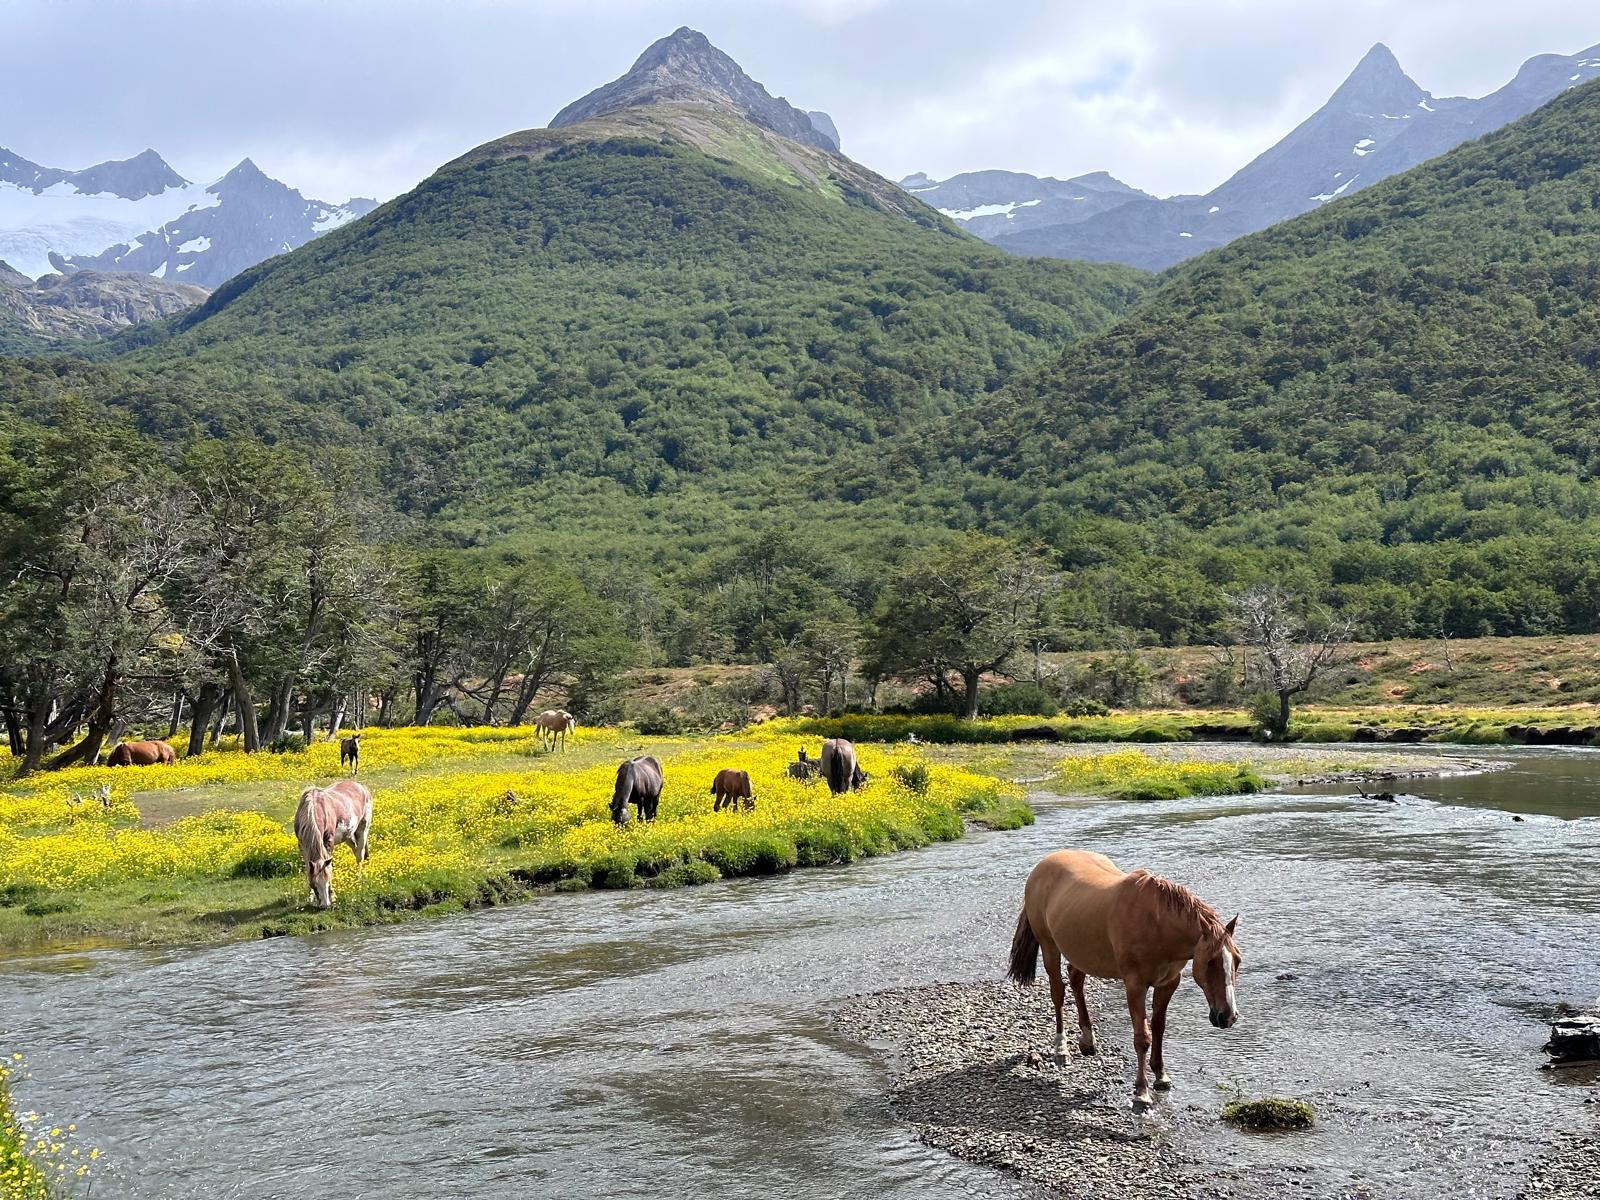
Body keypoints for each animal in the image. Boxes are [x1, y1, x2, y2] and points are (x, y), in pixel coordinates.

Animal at [294, 780, 374, 908]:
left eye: (327, 881)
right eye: (314, 884)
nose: (325, 905)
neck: (312, 809)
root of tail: (361, 787)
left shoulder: (328, 842)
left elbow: (329, 866)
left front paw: (333, 895)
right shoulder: (302, 846)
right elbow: (308, 868)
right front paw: (310, 897)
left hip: (363, 828)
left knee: (359, 855)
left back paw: (358, 879)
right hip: (347, 835)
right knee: (355, 849)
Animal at [1004, 851, 1241, 1113]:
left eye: (1237, 960)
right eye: (1210, 962)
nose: (1228, 1016)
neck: (1156, 924)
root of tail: (1042, 866)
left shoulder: (1168, 982)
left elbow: (1159, 1027)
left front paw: (1161, 1075)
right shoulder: (1135, 986)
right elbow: (1142, 1038)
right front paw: (1141, 1094)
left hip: (1082, 952)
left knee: (1076, 979)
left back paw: (1087, 1041)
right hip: (1049, 948)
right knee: (1058, 993)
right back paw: (1062, 1050)